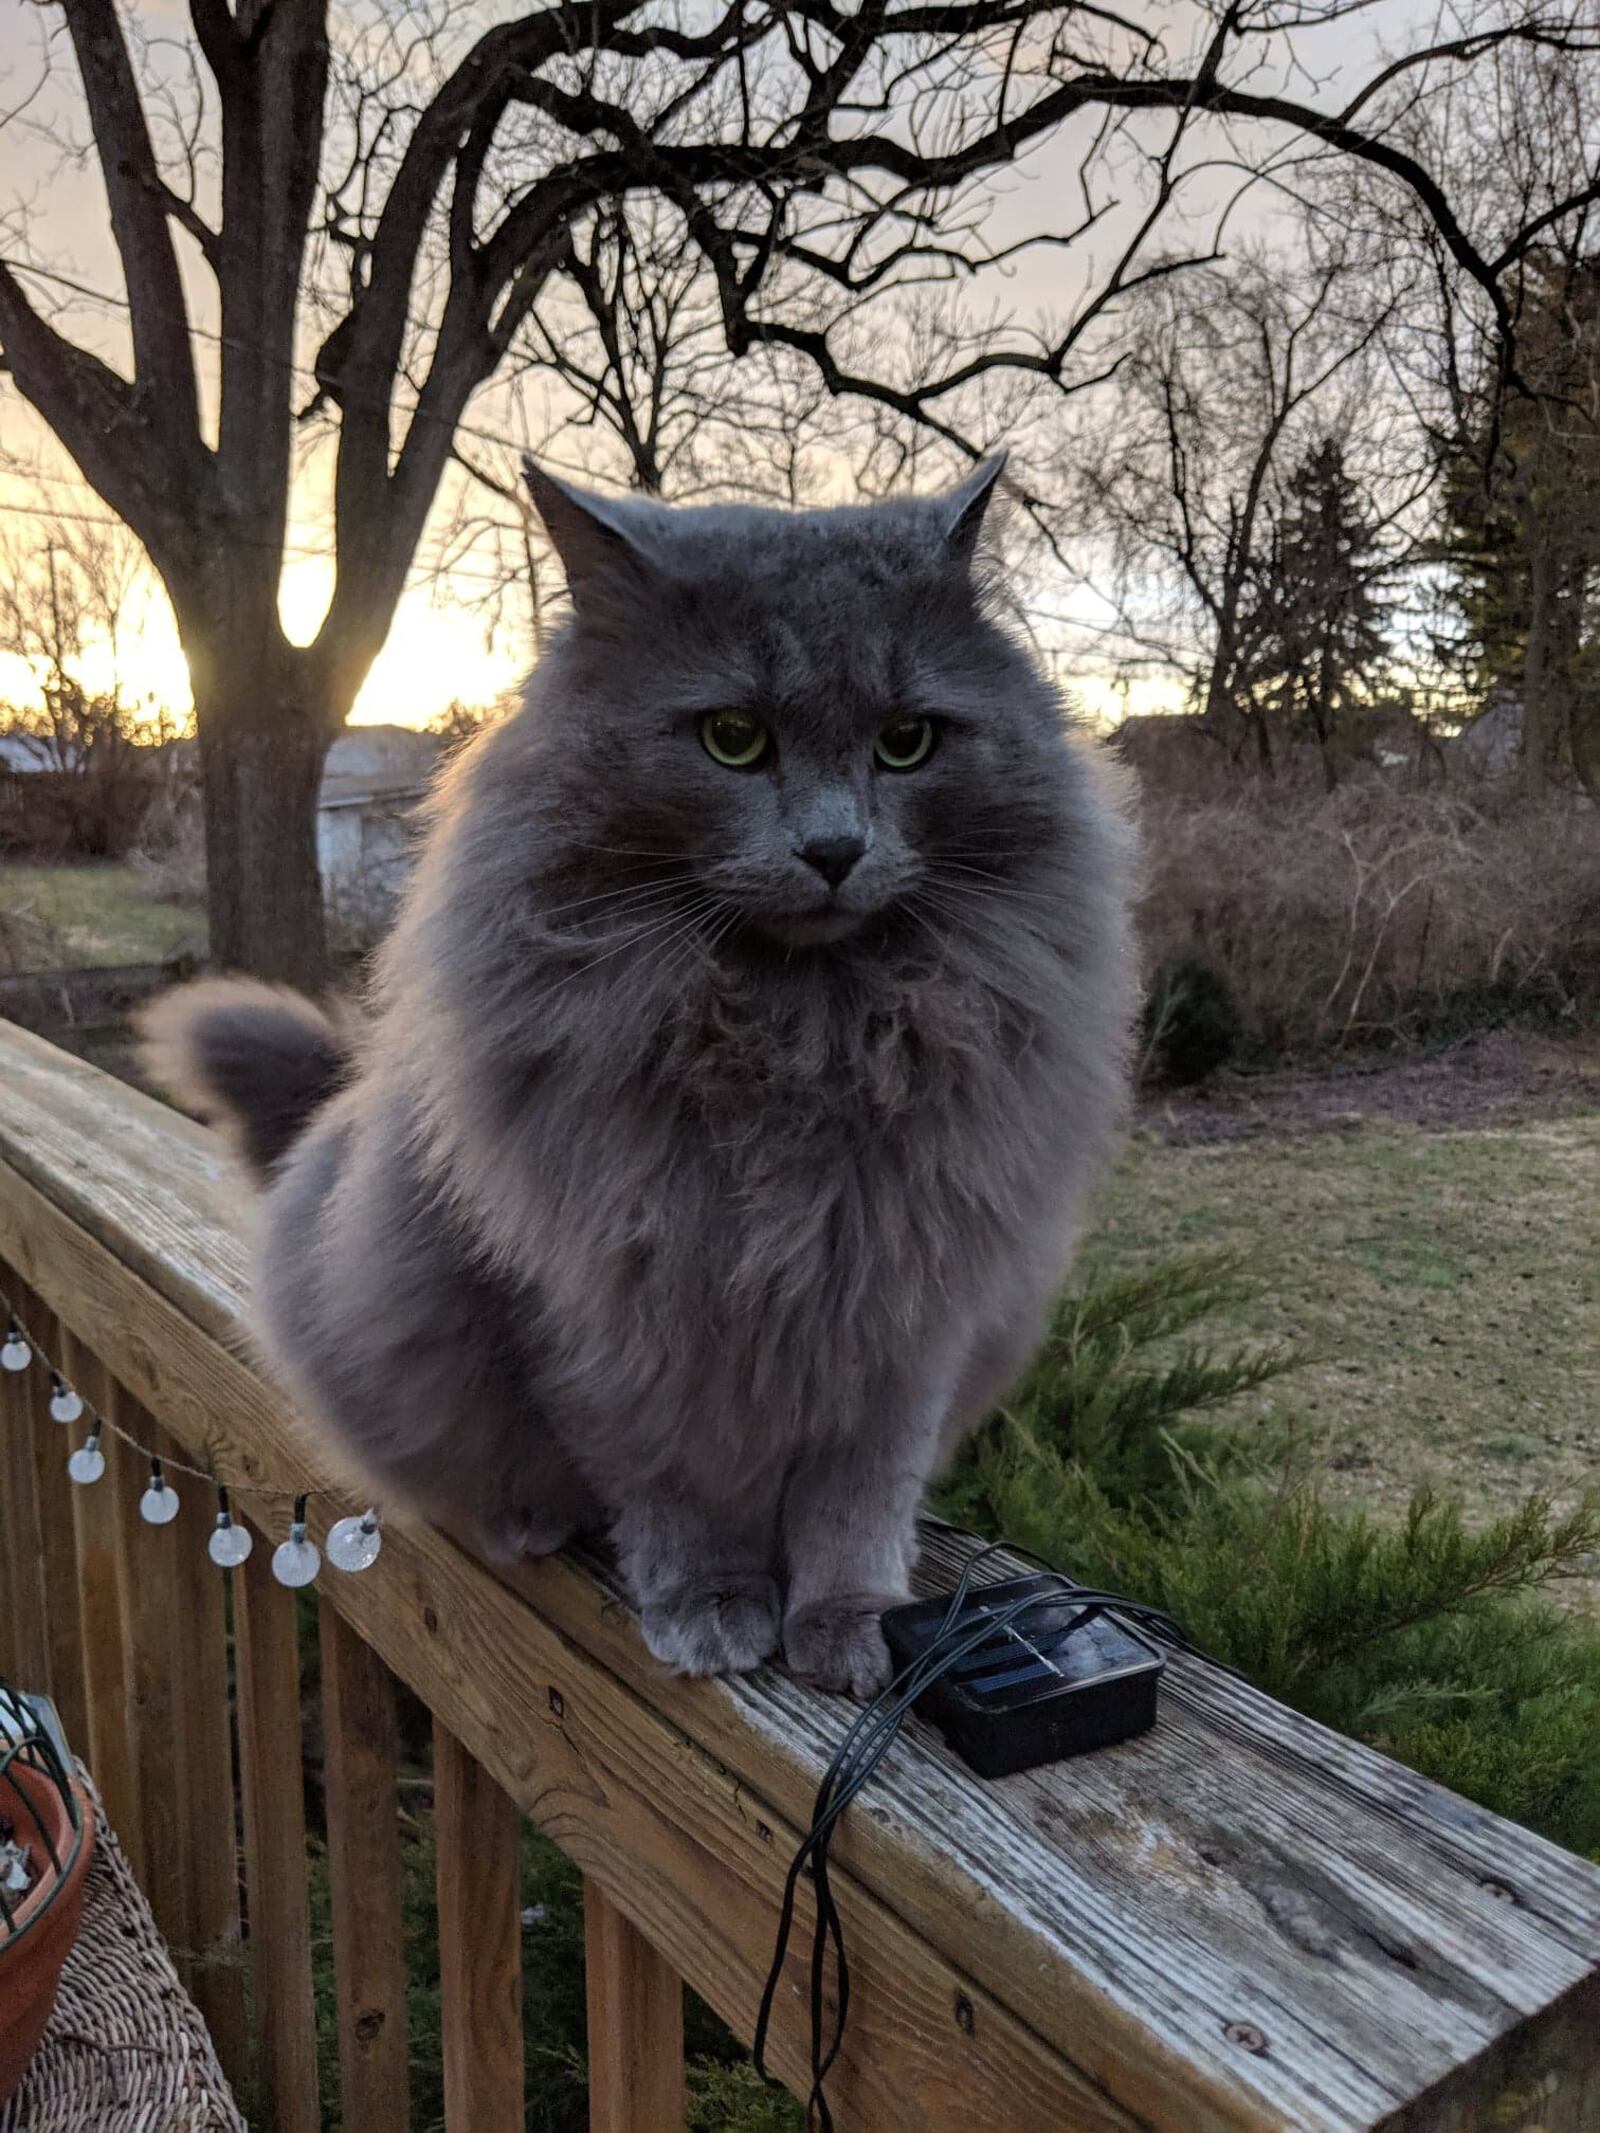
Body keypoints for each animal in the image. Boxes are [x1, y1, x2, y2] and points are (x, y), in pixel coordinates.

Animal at [144, 458, 1134, 1689]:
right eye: (731, 737)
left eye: (907, 742)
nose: (834, 851)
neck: (798, 1034)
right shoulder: (605, 1314)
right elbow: (673, 1487)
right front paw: (710, 1608)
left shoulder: (905, 1305)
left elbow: (857, 1502)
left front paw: (851, 1623)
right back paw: (529, 1524)